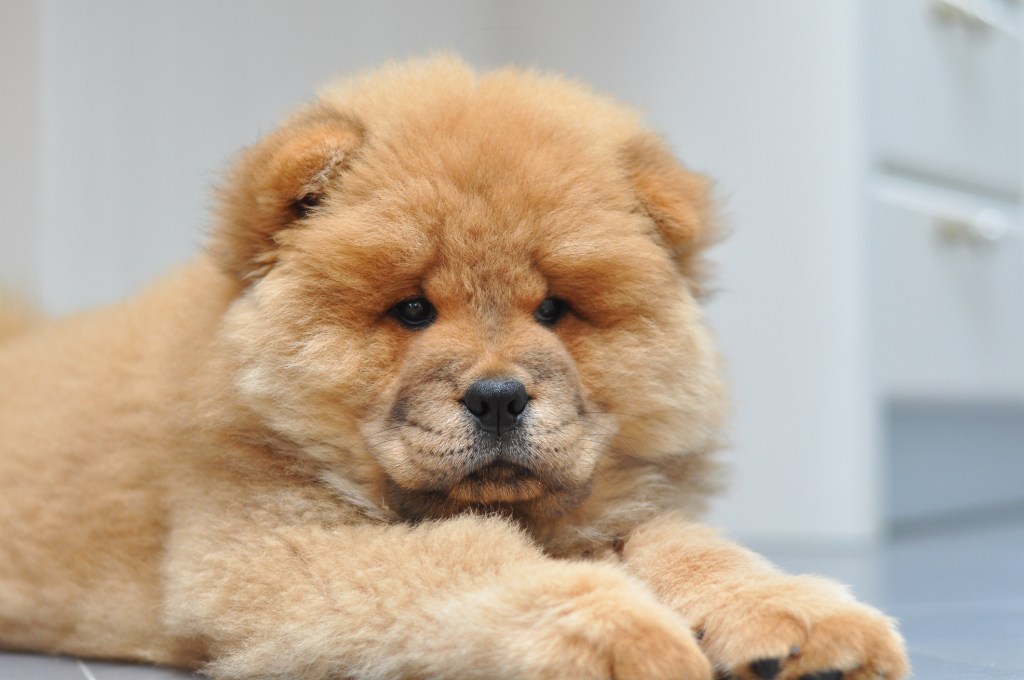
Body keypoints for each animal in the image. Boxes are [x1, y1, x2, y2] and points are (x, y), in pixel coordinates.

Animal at [0, 55, 913, 675]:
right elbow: (474, 557)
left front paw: (798, 617)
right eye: (413, 311)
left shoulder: (620, 503)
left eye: (554, 310)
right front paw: (624, 634)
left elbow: (695, 544)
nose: (501, 397)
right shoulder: (264, 551)